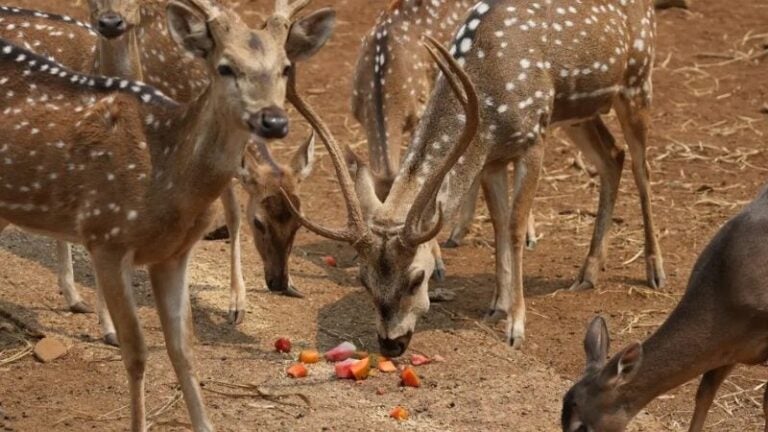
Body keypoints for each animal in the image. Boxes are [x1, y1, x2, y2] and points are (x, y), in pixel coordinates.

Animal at [0, 0, 336, 428]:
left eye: (286, 67)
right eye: (224, 67)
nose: (273, 120)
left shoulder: (174, 254)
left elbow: (183, 348)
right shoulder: (105, 236)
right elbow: (137, 352)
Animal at [284, 0, 664, 358]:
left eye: (417, 278)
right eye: (363, 280)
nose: (390, 344)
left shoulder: (534, 138)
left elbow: (514, 228)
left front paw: (516, 327)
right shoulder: (492, 158)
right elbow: (499, 226)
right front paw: (497, 305)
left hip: (637, 81)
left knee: (641, 168)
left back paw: (655, 271)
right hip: (579, 111)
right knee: (612, 156)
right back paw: (588, 272)